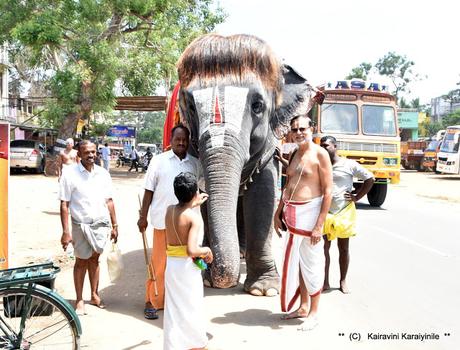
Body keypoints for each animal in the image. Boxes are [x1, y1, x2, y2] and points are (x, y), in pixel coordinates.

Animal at [176, 33, 316, 296]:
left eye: (258, 106)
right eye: (190, 106)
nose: (209, 264)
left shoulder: (271, 149)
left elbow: (263, 197)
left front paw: (264, 290)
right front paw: (209, 280)